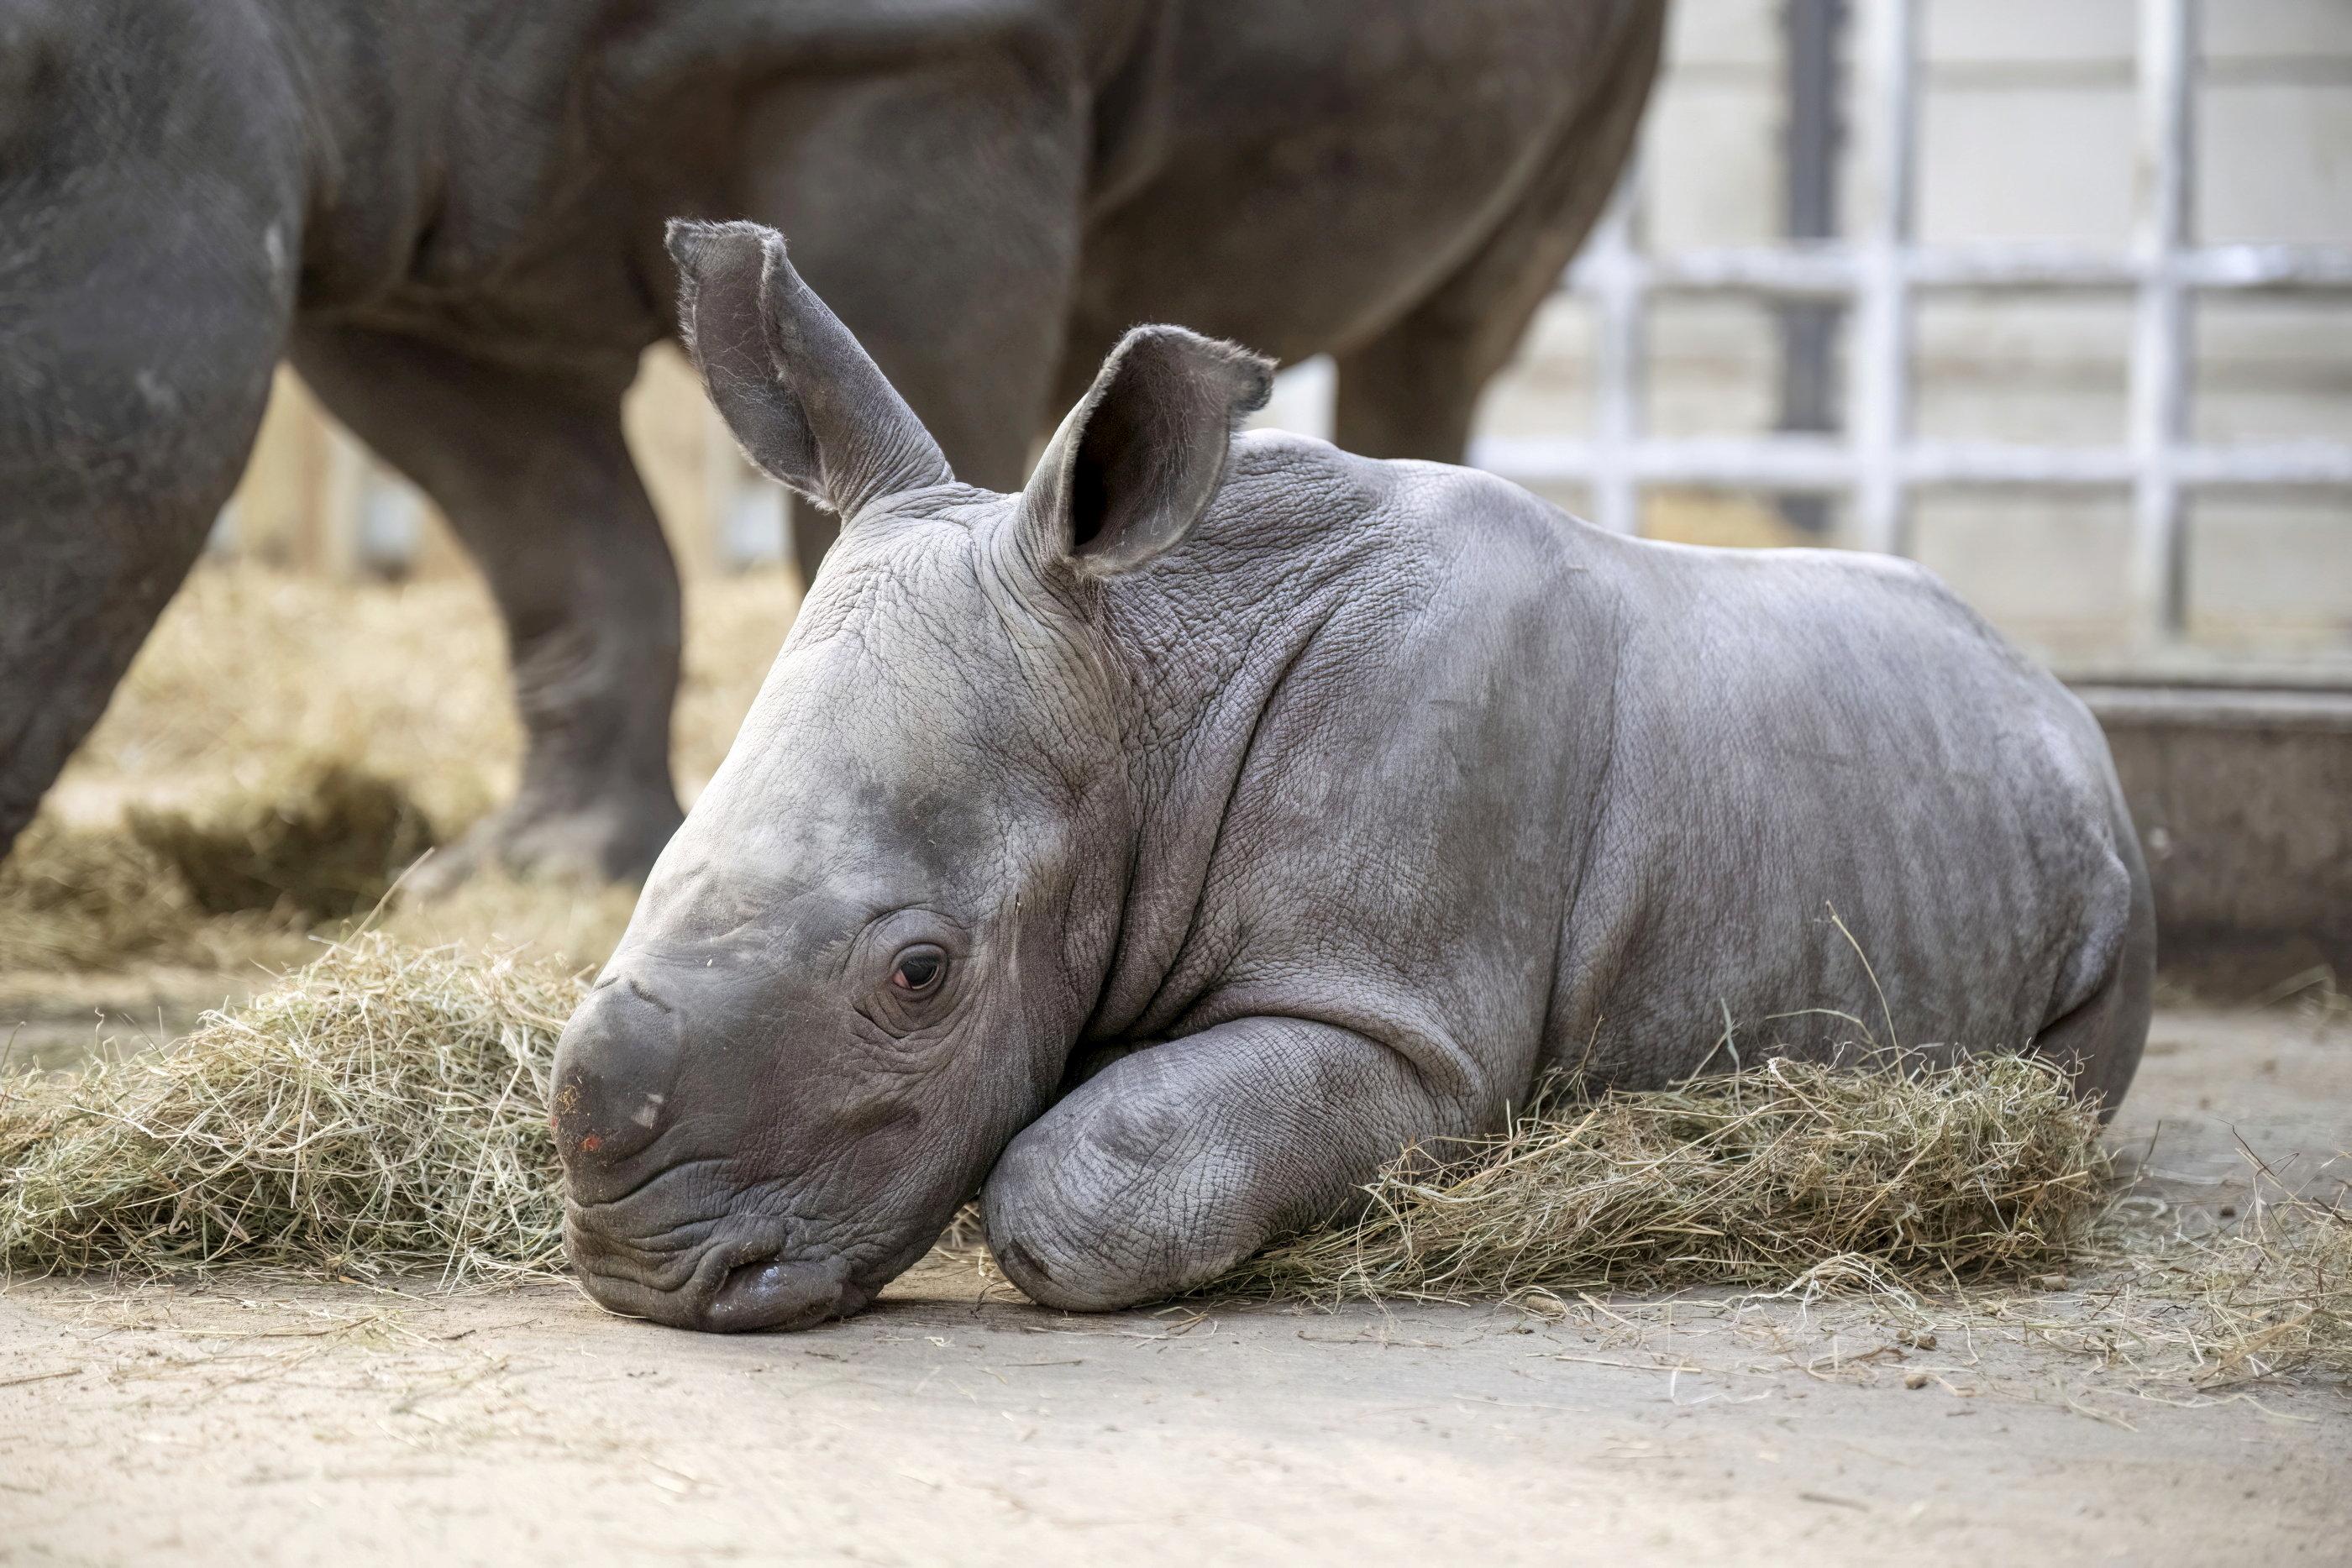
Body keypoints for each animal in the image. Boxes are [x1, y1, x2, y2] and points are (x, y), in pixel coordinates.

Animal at [549, 221, 2155, 1332]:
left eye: (920, 974)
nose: (640, 1277)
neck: (1143, 682)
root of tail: (2055, 694)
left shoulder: (1405, 1027)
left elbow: (1086, 1171)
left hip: (2108, 865)